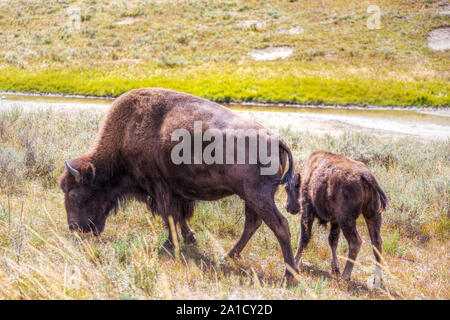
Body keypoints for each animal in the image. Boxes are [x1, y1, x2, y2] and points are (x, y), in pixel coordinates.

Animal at [59, 88, 298, 280]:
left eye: (74, 194)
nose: (74, 227)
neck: (129, 131)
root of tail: (277, 139)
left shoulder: (159, 188)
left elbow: (170, 217)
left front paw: (169, 245)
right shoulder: (176, 192)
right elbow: (179, 217)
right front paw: (190, 239)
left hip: (258, 196)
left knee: (280, 225)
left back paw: (289, 275)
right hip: (250, 198)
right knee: (252, 224)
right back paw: (228, 256)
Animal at [284, 150, 386, 288]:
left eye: (287, 189)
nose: (287, 207)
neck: (308, 176)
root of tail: (366, 175)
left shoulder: (307, 212)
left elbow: (304, 238)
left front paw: (294, 264)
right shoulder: (335, 221)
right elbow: (333, 241)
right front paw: (335, 268)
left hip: (347, 220)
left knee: (355, 242)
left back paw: (345, 276)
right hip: (372, 215)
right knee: (377, 243)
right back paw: (377, 280)